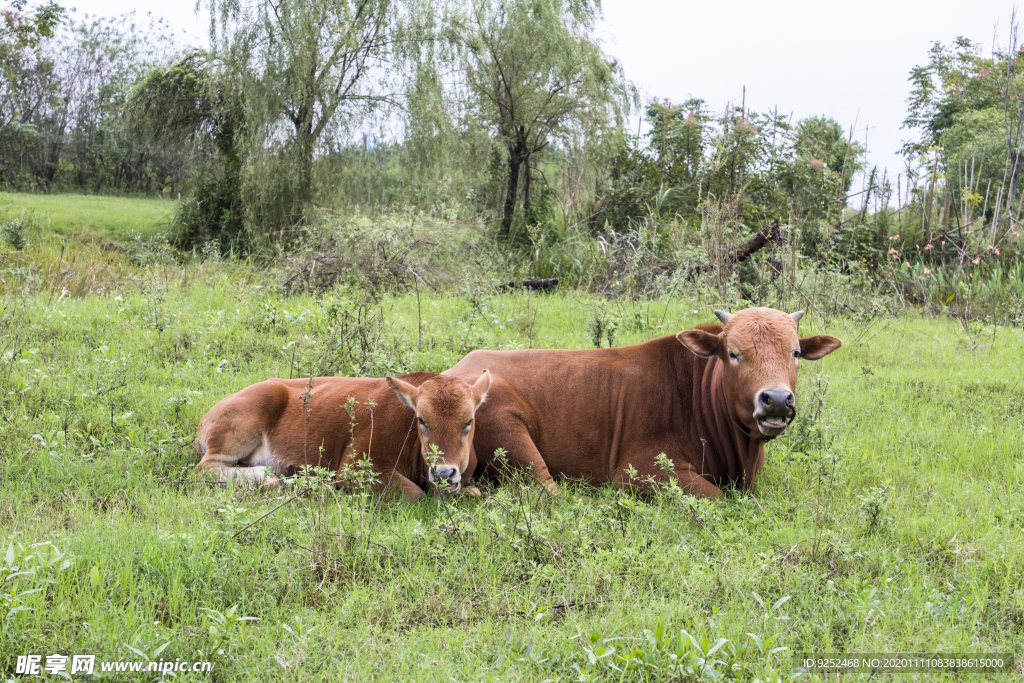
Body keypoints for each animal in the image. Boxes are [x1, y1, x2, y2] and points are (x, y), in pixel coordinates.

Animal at [197, 370, 493, 499]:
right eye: (422, 420)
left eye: (468, 421)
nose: (443, 473)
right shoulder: (356, 468)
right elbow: (415, 493)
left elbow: (473, 492)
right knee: (205, 469)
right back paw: (270, 478)